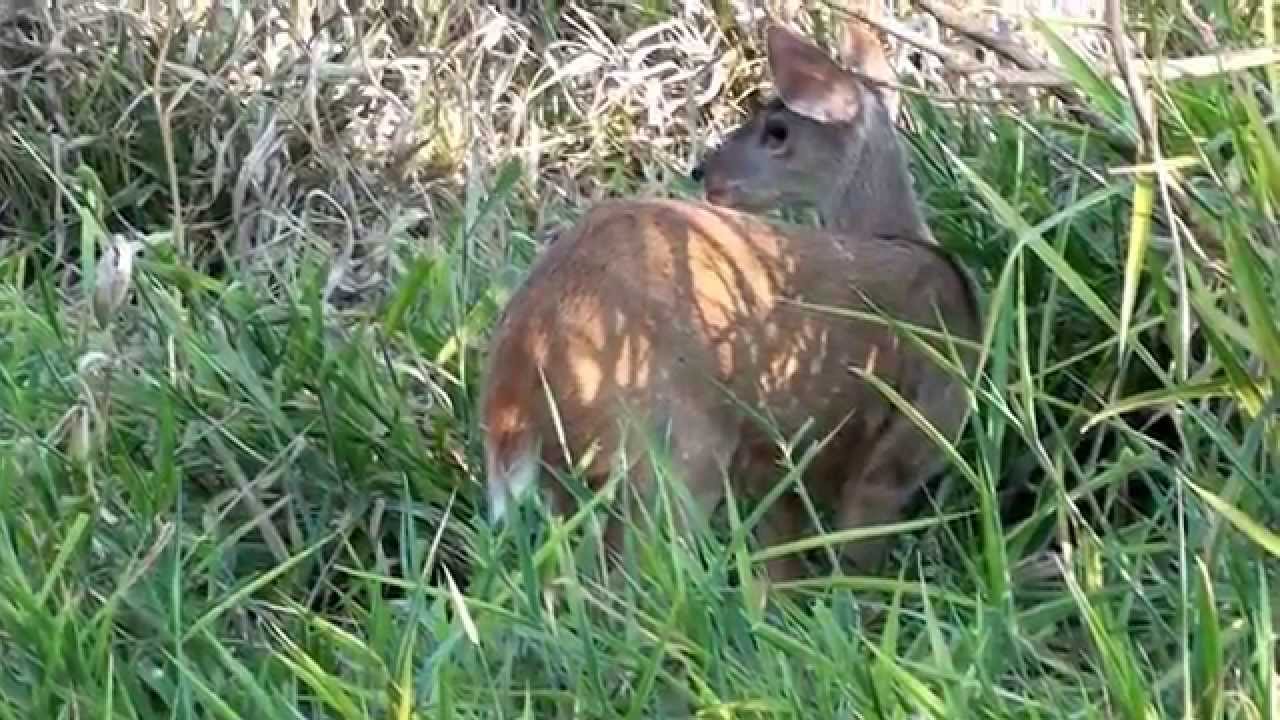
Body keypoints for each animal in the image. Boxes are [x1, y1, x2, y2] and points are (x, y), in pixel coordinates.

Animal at [479, 18, 981, 585]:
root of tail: (522, 354)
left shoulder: (778, 472)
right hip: (672, 443)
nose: (703, 171)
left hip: (574, 470)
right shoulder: (904, 445)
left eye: (777, 131)